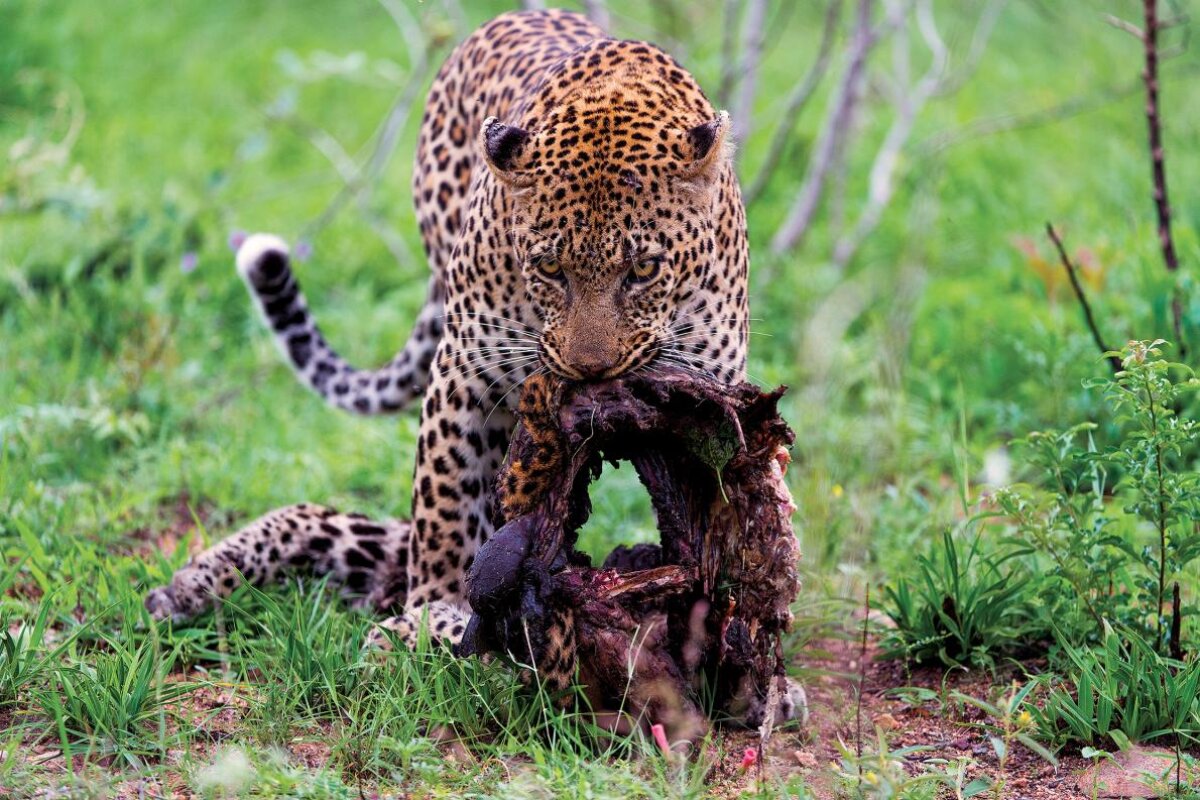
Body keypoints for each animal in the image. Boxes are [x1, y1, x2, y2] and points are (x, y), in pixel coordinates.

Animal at [145, 8, 805, 728]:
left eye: (644, 269)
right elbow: (444, 507)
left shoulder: (711, 397)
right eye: (549, 267)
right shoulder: (464, 375)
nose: (591, 372)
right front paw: (434, 615)